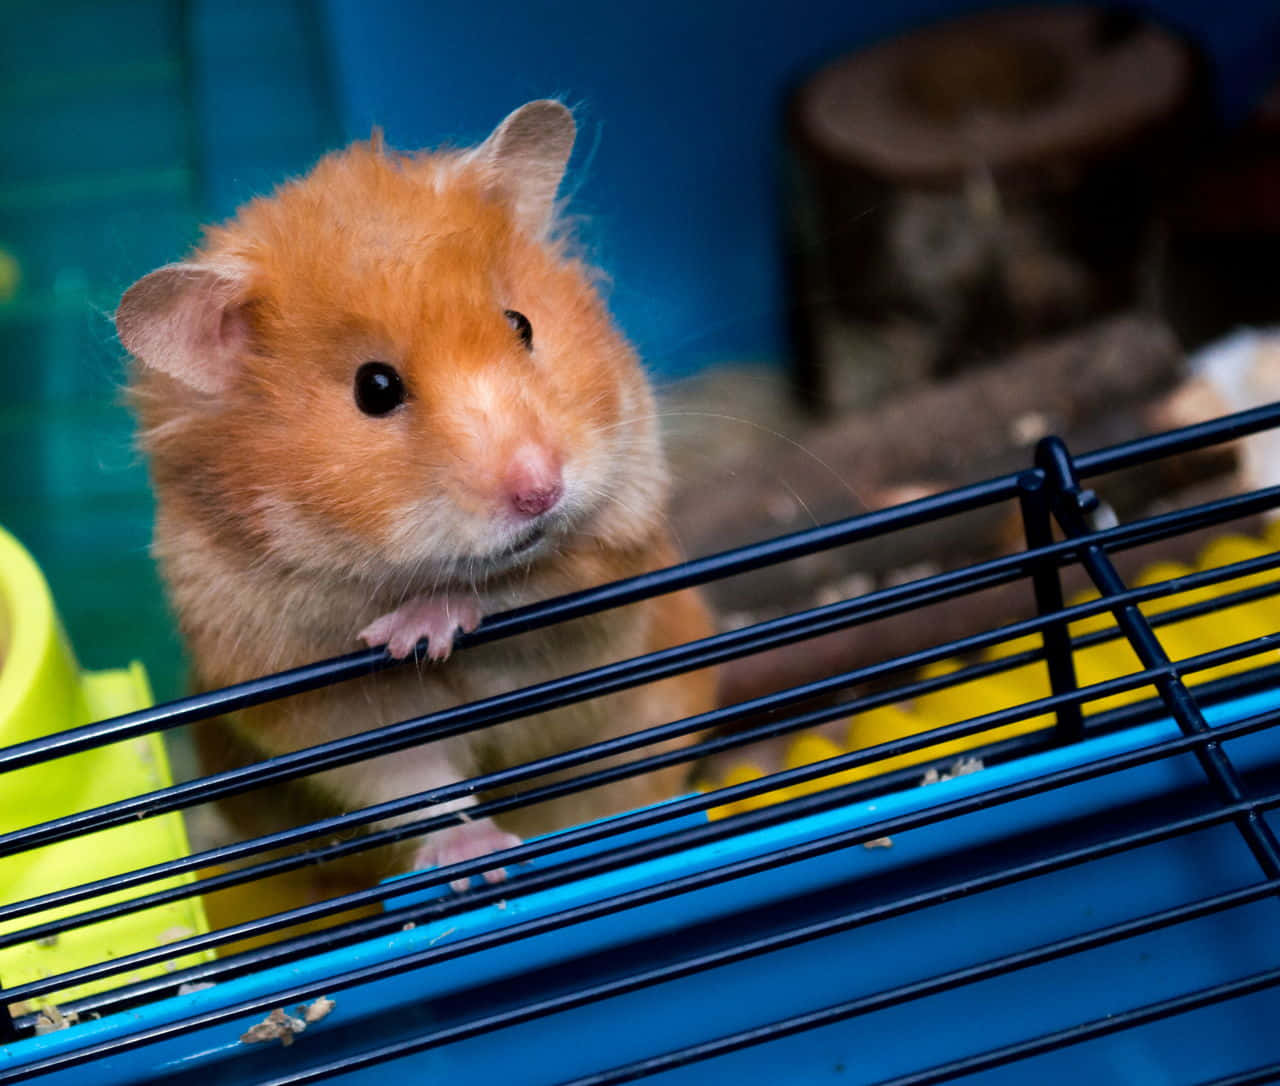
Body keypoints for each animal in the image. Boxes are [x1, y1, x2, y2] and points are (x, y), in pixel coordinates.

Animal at [115, 100, 717, 887]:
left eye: (522, 324)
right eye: (374, 389)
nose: (541, 489)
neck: (381, 569)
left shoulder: (617, 555)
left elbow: (523, 584)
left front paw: (415, 630)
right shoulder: (309, 698)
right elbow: (413, 780)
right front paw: (478, 864)